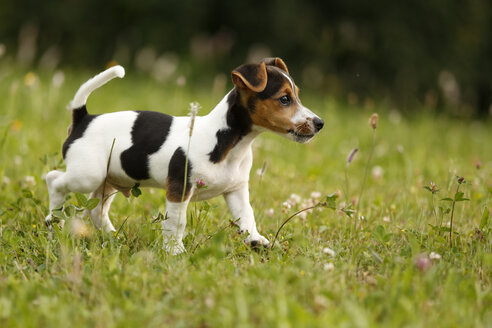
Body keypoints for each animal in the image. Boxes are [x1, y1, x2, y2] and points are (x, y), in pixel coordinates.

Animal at [45, 58, 322, 254]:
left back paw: (113, 236)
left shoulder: (236, 190)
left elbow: (247, 217)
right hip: (88, 175)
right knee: (54, 179)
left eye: (296, 95)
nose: (320, 123)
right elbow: (177, 223)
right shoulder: (180, 188)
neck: (229, 143)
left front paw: (256, 240)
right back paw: (53, 219)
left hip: (111, 179)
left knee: (96, 209)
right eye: (284, 99)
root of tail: (84, 118)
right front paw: (175, 252)